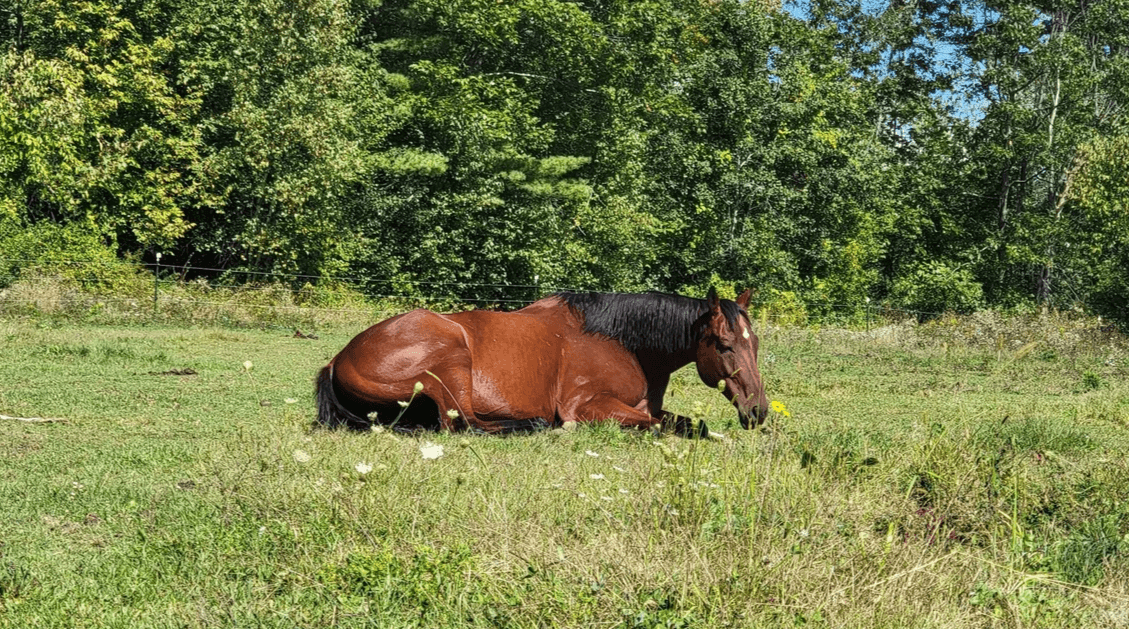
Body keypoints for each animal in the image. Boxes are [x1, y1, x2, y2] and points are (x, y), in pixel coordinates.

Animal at [316, 287, 768, 434]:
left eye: (756, 343)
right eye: (724, 345)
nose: (758, 411)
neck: (623, 341)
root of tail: (338, 359)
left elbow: (684, 422)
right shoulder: (587, 406)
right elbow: (663, 425)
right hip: (451, 360)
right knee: (465, 424)